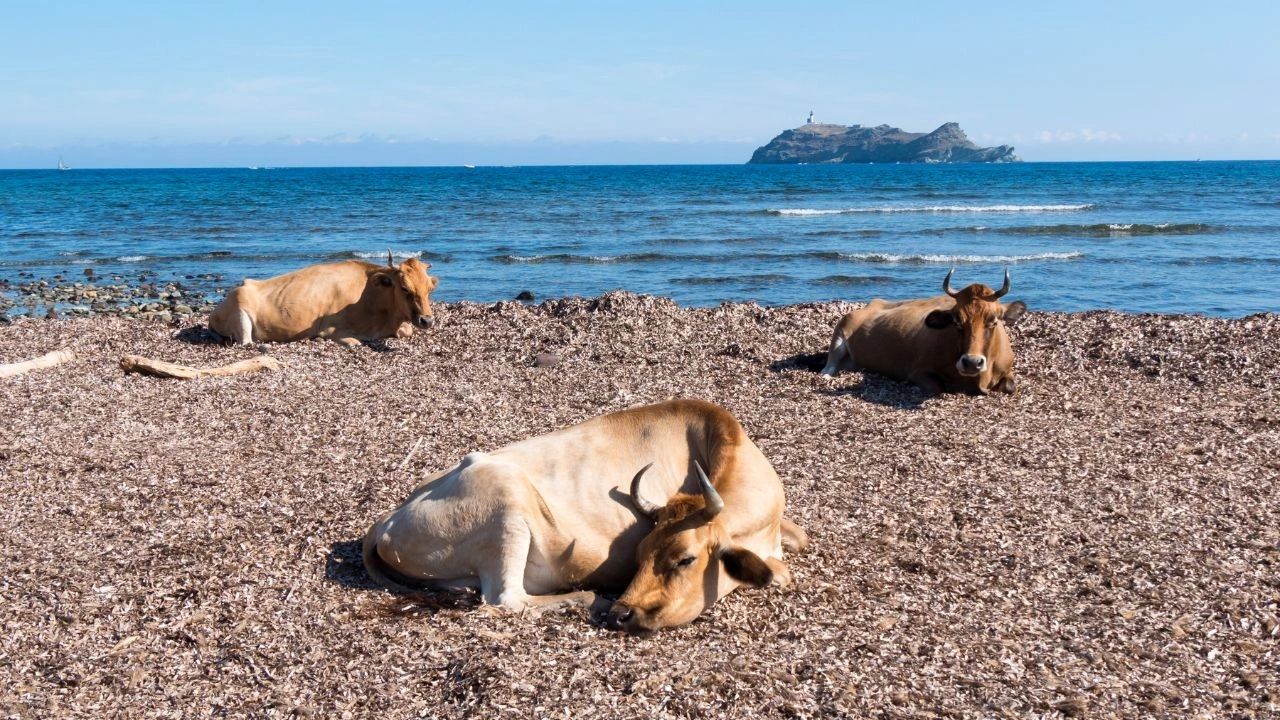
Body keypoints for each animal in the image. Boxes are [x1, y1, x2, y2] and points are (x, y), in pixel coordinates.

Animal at [366, 397, 803, 632]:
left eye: (685, 559)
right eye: (639, 556)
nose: (623, 613)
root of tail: (386, 520)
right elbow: (780, 573)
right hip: (507, 502)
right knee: (506, 600)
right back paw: (587, 597)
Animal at [819, 267, 1029, 392]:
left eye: (993, 321)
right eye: (956, 322)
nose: (971, 362)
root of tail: (874, 303)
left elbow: (1010, 386)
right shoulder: (918, 371)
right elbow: (939, 386)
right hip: (840, 332)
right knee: (828, 368)